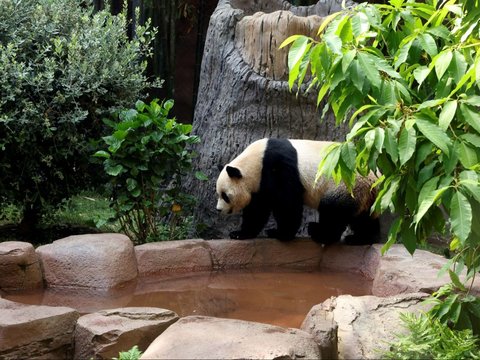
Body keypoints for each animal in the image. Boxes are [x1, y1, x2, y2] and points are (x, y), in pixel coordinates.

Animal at [216, 138, 380, 245]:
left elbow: (286, 202)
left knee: (333, 211)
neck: (256, 160)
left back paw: (320, 233)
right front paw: (240, 233)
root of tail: (376, 179)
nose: (218, 209)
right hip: (365, 194)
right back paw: (361, 239)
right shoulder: (260, 184)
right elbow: (258, 210)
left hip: (347, 185)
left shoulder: (278, 167)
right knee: (364, 218)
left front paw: (280, 234)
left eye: (225, 196)